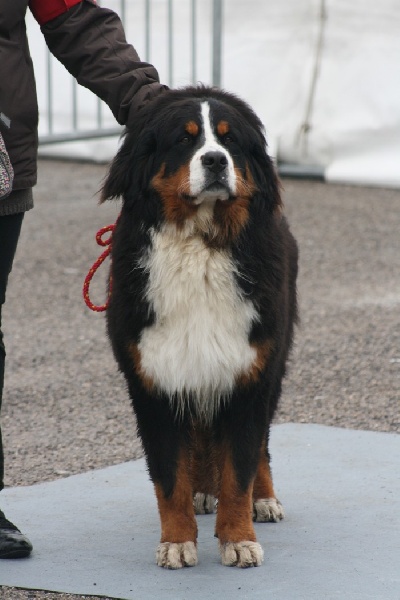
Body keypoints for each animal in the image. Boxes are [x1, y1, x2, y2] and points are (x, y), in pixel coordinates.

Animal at [101, 86, 298, 569]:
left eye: (229, 140)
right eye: (184, 139)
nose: (214, 160)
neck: (201, 246)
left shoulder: (249, 373)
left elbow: (239, 468)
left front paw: (239, 538)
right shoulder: (153, 378)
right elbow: (169, 477)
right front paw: (176, 541)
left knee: (260, 445)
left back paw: (264, 500)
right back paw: (202, 492)